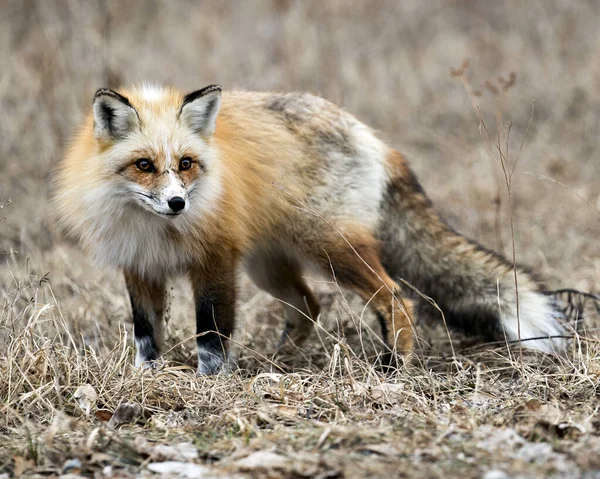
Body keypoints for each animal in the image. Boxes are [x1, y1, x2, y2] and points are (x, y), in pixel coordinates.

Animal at [50, 82, 564, 376]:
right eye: (144, 165)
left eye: (186, 164)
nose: (177, 203)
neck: (157, 230)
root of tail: (374, 137)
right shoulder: (140, 265)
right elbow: (146, 333)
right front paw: (145, 378)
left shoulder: (214, 262)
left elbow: (211, 335)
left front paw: (208, 383)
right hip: (268, 267)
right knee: (309, 306)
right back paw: (278, 362)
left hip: (331, 250)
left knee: (394, 297)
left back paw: (394, 365)